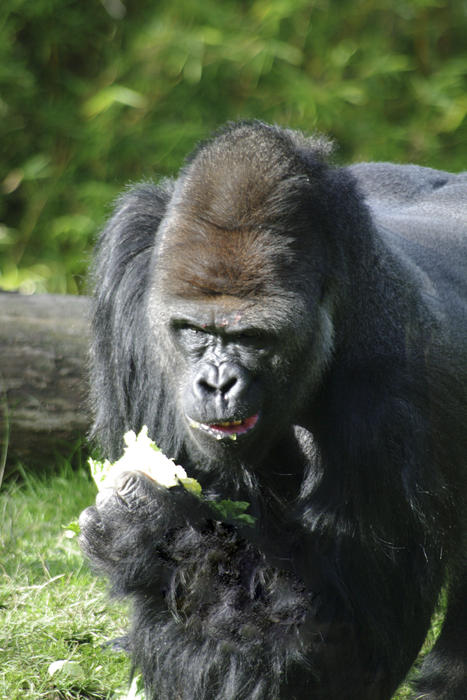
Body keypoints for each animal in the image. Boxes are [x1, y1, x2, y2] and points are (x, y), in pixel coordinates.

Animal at [79, 123, 467, 696]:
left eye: (253, 337)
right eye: (193, 329)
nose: (218, 383)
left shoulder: (395, 385)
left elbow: (343, 646)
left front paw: (145, 525)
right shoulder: (130, 262)